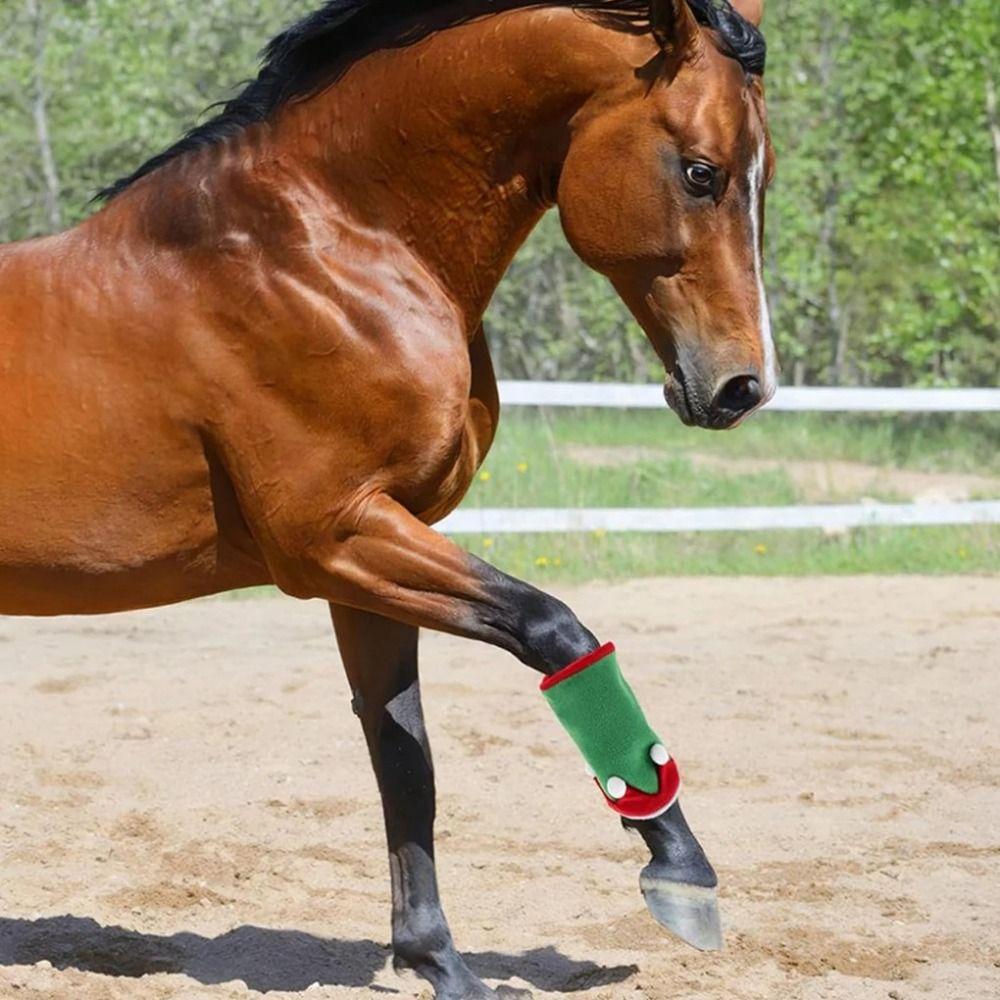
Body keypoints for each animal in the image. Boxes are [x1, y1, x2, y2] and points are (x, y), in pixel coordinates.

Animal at [0, 1, 775, 996]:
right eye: (701, 171)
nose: (742, 387)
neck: (330, 253)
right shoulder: (334, 538)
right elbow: (554, 630)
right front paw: (682, 873)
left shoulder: (368, 560)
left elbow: (405, 760)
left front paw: (438, 960)